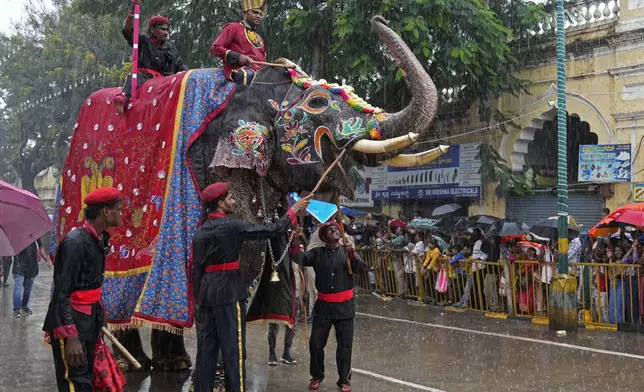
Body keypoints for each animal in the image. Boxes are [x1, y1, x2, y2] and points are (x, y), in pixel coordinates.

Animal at [50, 14, 446, 370]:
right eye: (317, 102)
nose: (378, 18)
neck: (256, 88)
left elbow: (251, 258)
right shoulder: (216, 165)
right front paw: (222, 370)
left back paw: (172, 364)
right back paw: (131, 362)